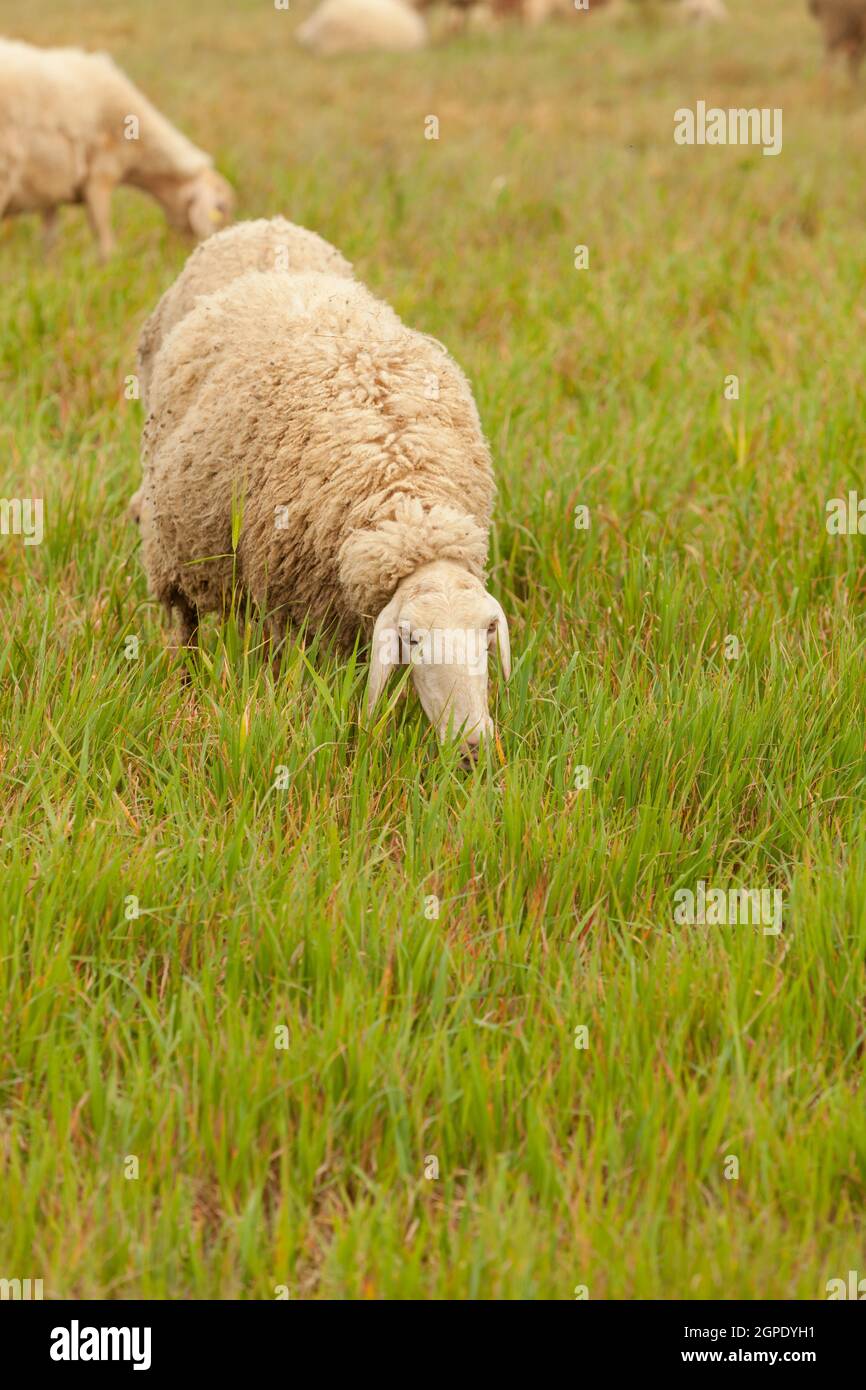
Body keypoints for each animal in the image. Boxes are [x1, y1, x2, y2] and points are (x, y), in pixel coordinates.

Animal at [0, 37, 234, 257]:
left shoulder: (51, 187)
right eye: (221, 209)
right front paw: (106, 265)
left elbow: (50, 239)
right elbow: (103, 233)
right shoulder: (101, 175)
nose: (203, 247)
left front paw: (49, 267)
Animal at [133, 265, 510, 757]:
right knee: (186, 621)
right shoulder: (289, 601)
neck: (405, 502)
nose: (473, 746)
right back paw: (187, 680)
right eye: (412, 638)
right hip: (173, 541)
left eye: (487, 633)